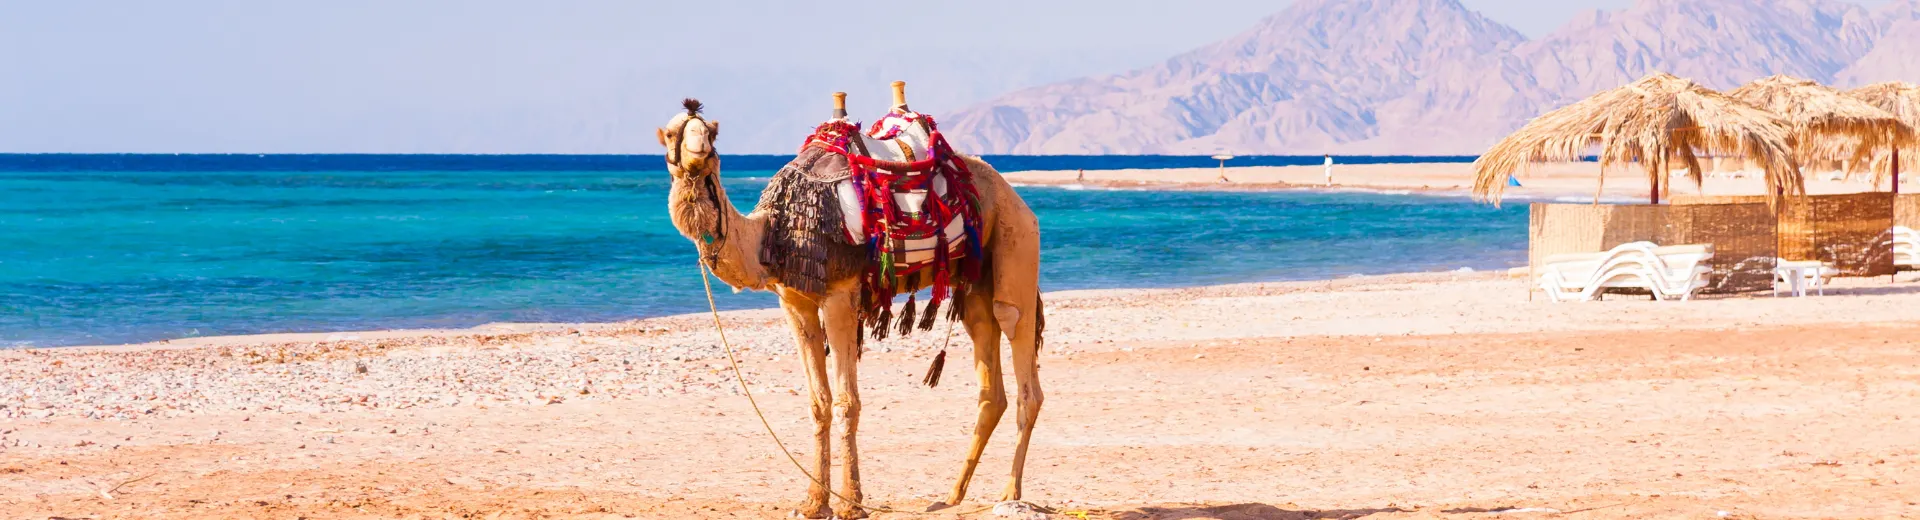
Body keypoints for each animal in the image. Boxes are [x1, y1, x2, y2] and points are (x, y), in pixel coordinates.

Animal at [655, 84, 1045, 519]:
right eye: (672, 133)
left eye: (710, 132)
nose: (699, 149)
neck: (771, 232)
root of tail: (1012, 193)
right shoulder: (795, 302)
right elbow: (818, 401)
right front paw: (813, 501)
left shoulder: (839, 295)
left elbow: (846, 402)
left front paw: (851, 502)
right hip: (974, 281)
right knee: (990, 381)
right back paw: (950, 496)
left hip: (1016, 240)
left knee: (1020, 352)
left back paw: (1010, 493)